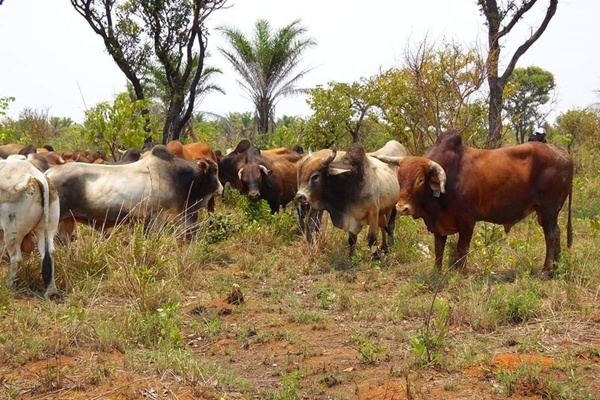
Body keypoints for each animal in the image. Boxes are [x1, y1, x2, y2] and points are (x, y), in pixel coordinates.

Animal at [44, 145, 223, 242]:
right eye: (214, 171)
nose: (221, 189)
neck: (177, 177)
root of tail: (48, 173)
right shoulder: (158, 217)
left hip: (66, 220)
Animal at [376, 130, 572, 276]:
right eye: (399, 177)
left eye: (420, 180)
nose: (402, 207)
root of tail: (563, 154)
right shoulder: (439, 223)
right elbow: (439, 249)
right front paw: (436, 273)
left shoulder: (467, 220)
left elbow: (462, 248)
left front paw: (462, 274)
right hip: (545, 212)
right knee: (556, 233)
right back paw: (556, 268)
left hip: (549, 208)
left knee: (551, 234)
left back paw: (546, 270)